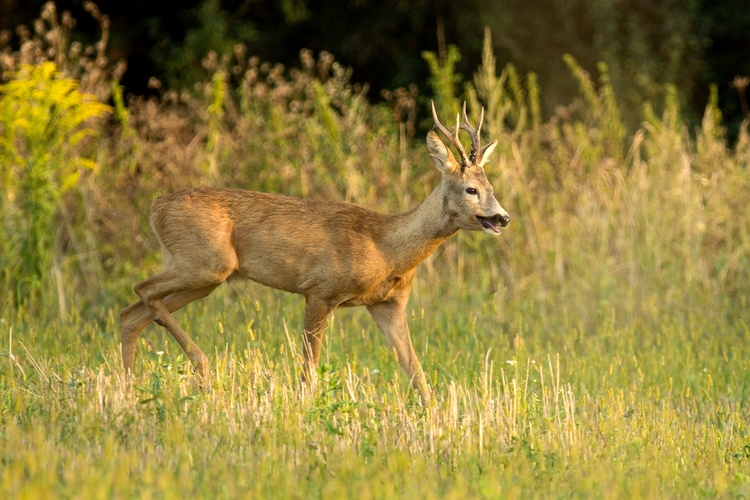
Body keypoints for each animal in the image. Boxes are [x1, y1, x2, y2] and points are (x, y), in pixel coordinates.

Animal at [120, 101, 516, 402]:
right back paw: (201, 367)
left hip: (202, 275)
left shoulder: (388, 305)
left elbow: (416, 372)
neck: (386, 248)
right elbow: (309, 369)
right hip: (206, 263)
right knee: (141, 291)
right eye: (470, 189)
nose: (502, 217)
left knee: (133, 313)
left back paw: (129, 391)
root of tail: (155, 208)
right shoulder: (319, 290)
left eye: (491, 186)